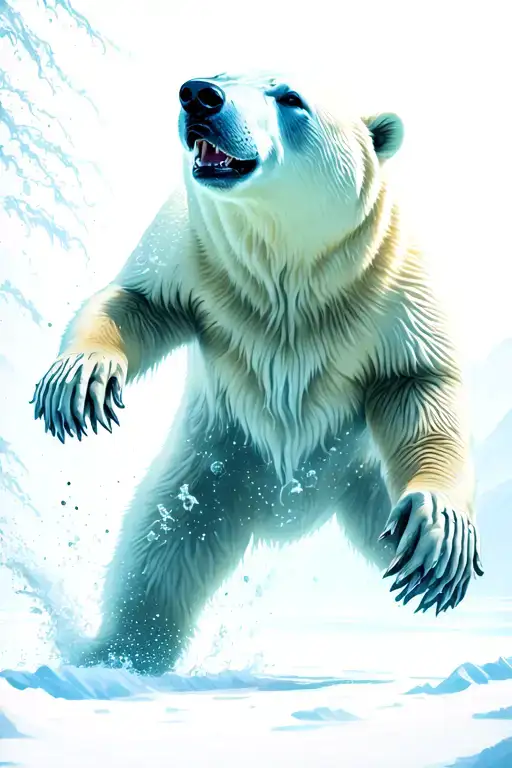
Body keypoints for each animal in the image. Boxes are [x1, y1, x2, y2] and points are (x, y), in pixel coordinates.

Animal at [31, 71, 484, 676]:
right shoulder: (195, 249)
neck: (286, 264)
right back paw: (114, 654)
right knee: (158, 555)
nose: (199, 95)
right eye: (221, 74)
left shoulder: (388, 281)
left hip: (358, 475)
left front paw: (437, 529)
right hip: (214, 472)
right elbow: (138, 301)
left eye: (290, 97)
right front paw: (79, 378)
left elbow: (417, 382)